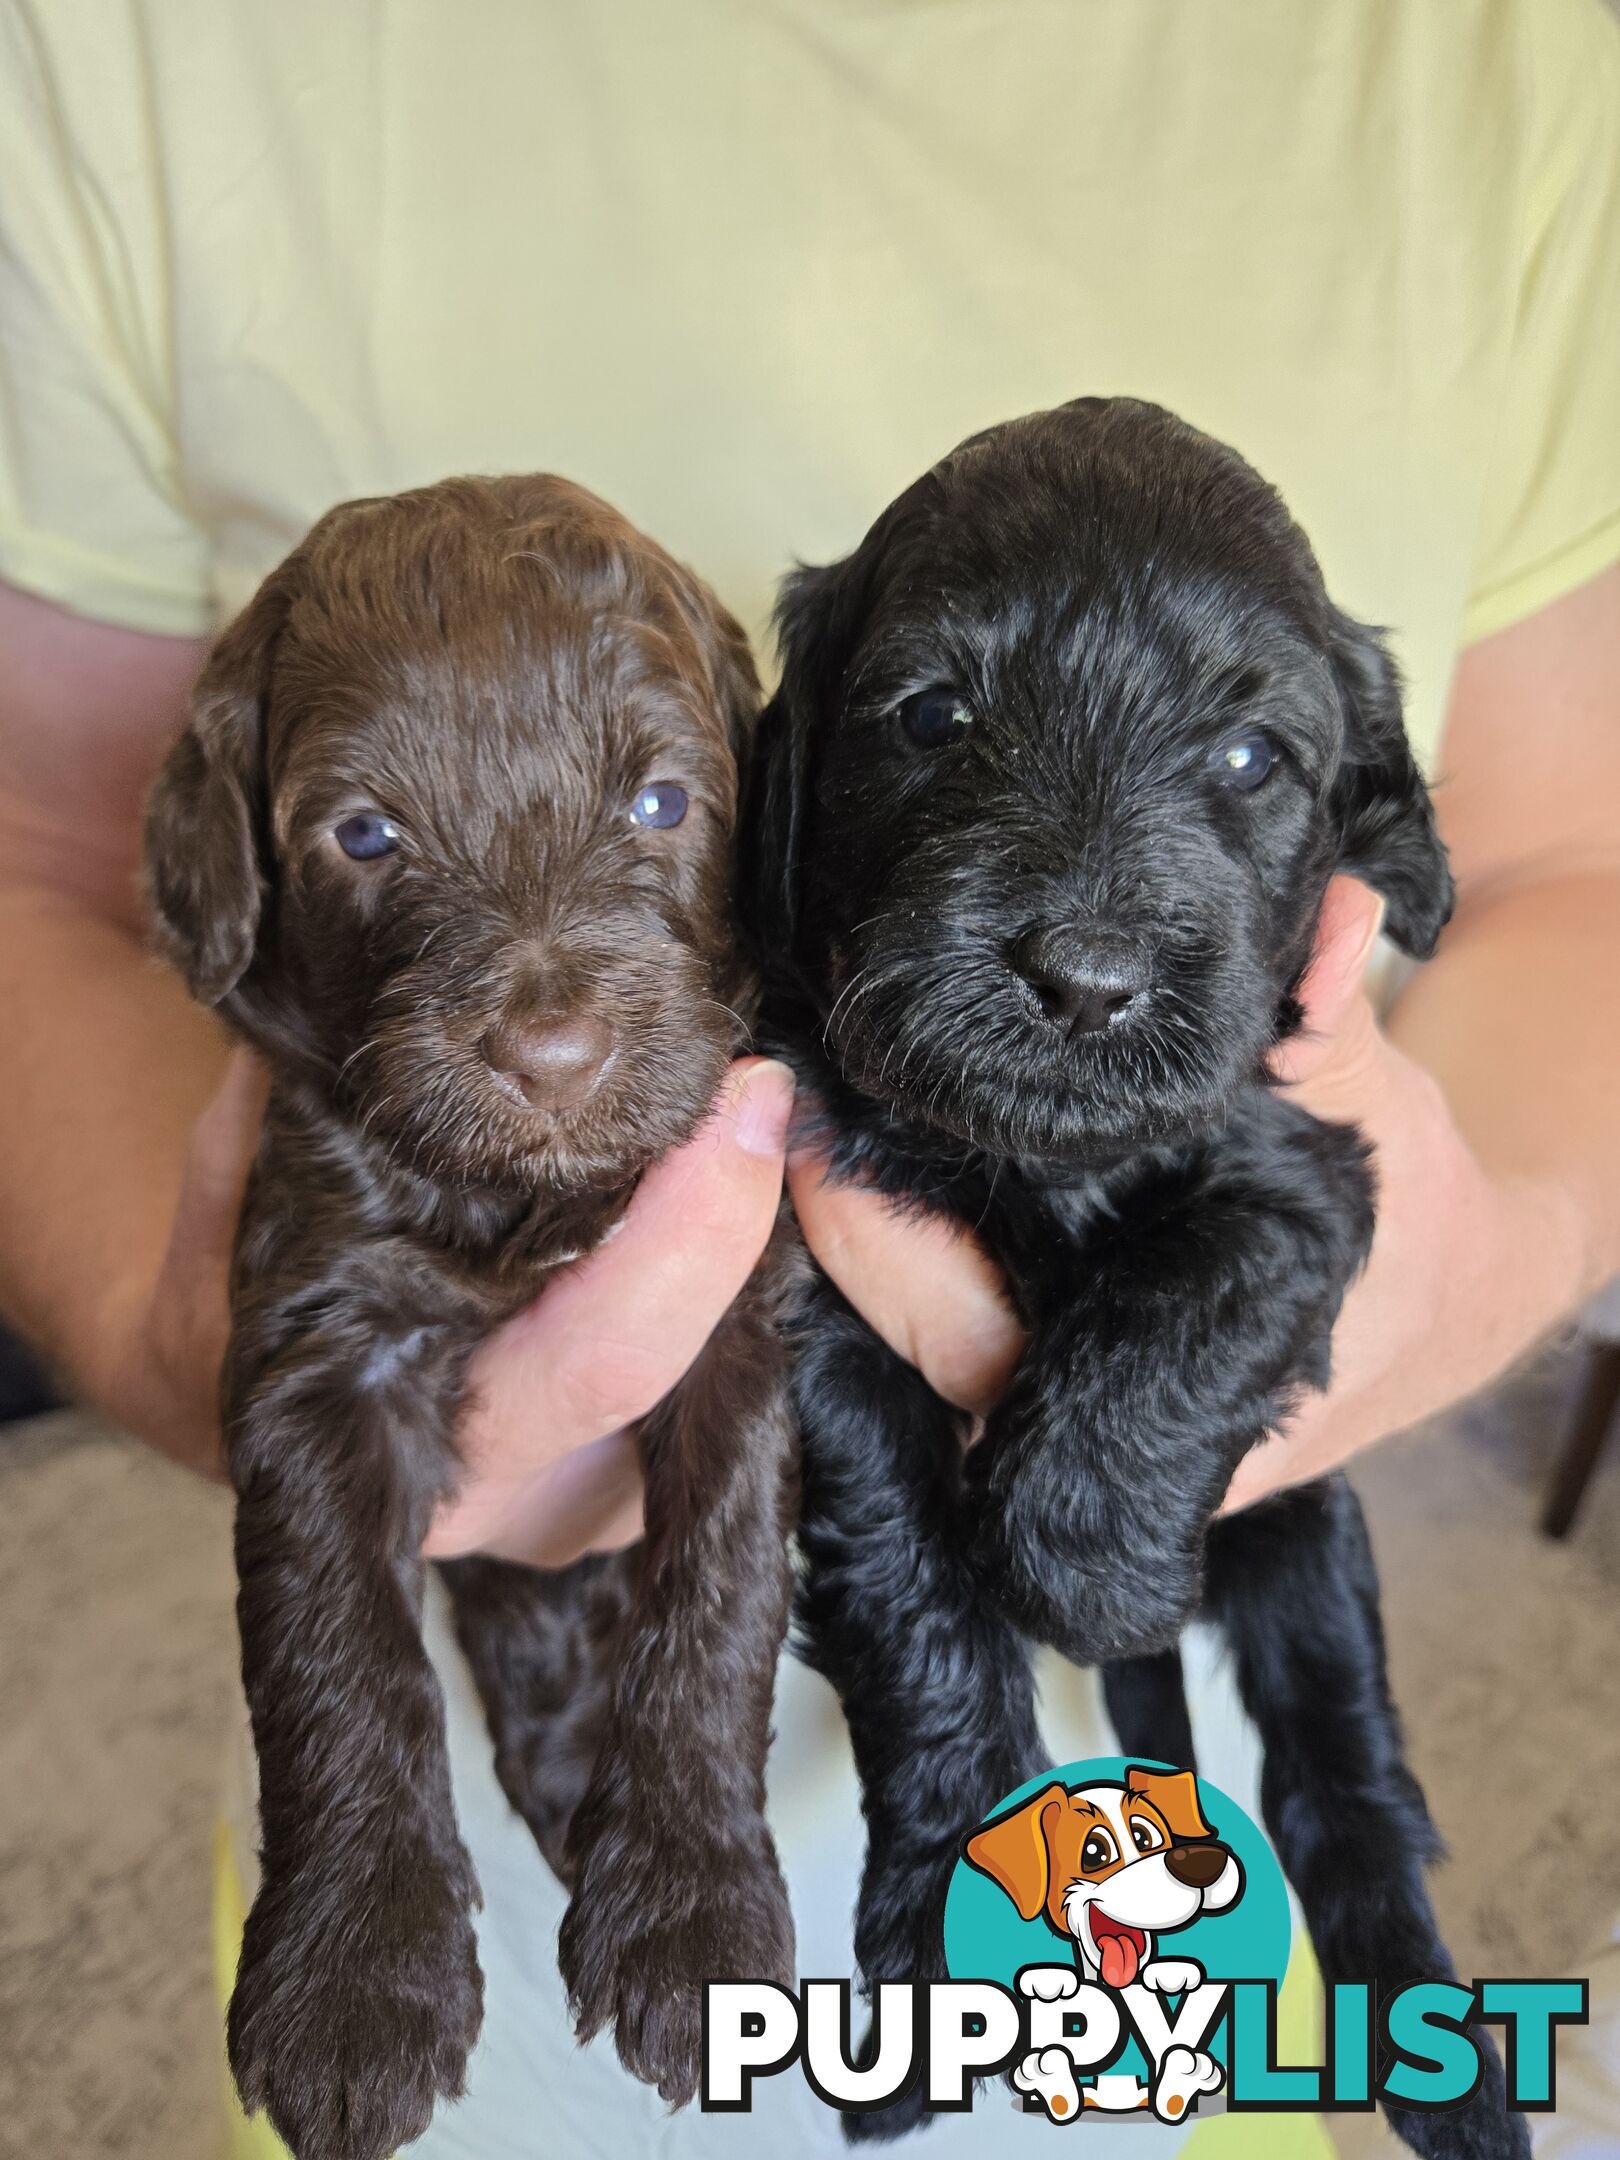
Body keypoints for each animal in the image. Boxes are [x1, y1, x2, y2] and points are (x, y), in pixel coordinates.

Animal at [756, 397, 1529, 2151]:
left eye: (1253, 761)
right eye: (933, 714)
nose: (1087, 978)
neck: (1044, 1160)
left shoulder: (1305, 1177)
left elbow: (1189, 1300)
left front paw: (1089, 1564)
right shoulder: (821, 1283)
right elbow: (912, 1591)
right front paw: (929, 1945)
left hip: (1308, 1550)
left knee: (1345, 1776)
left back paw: (1445, 2067)